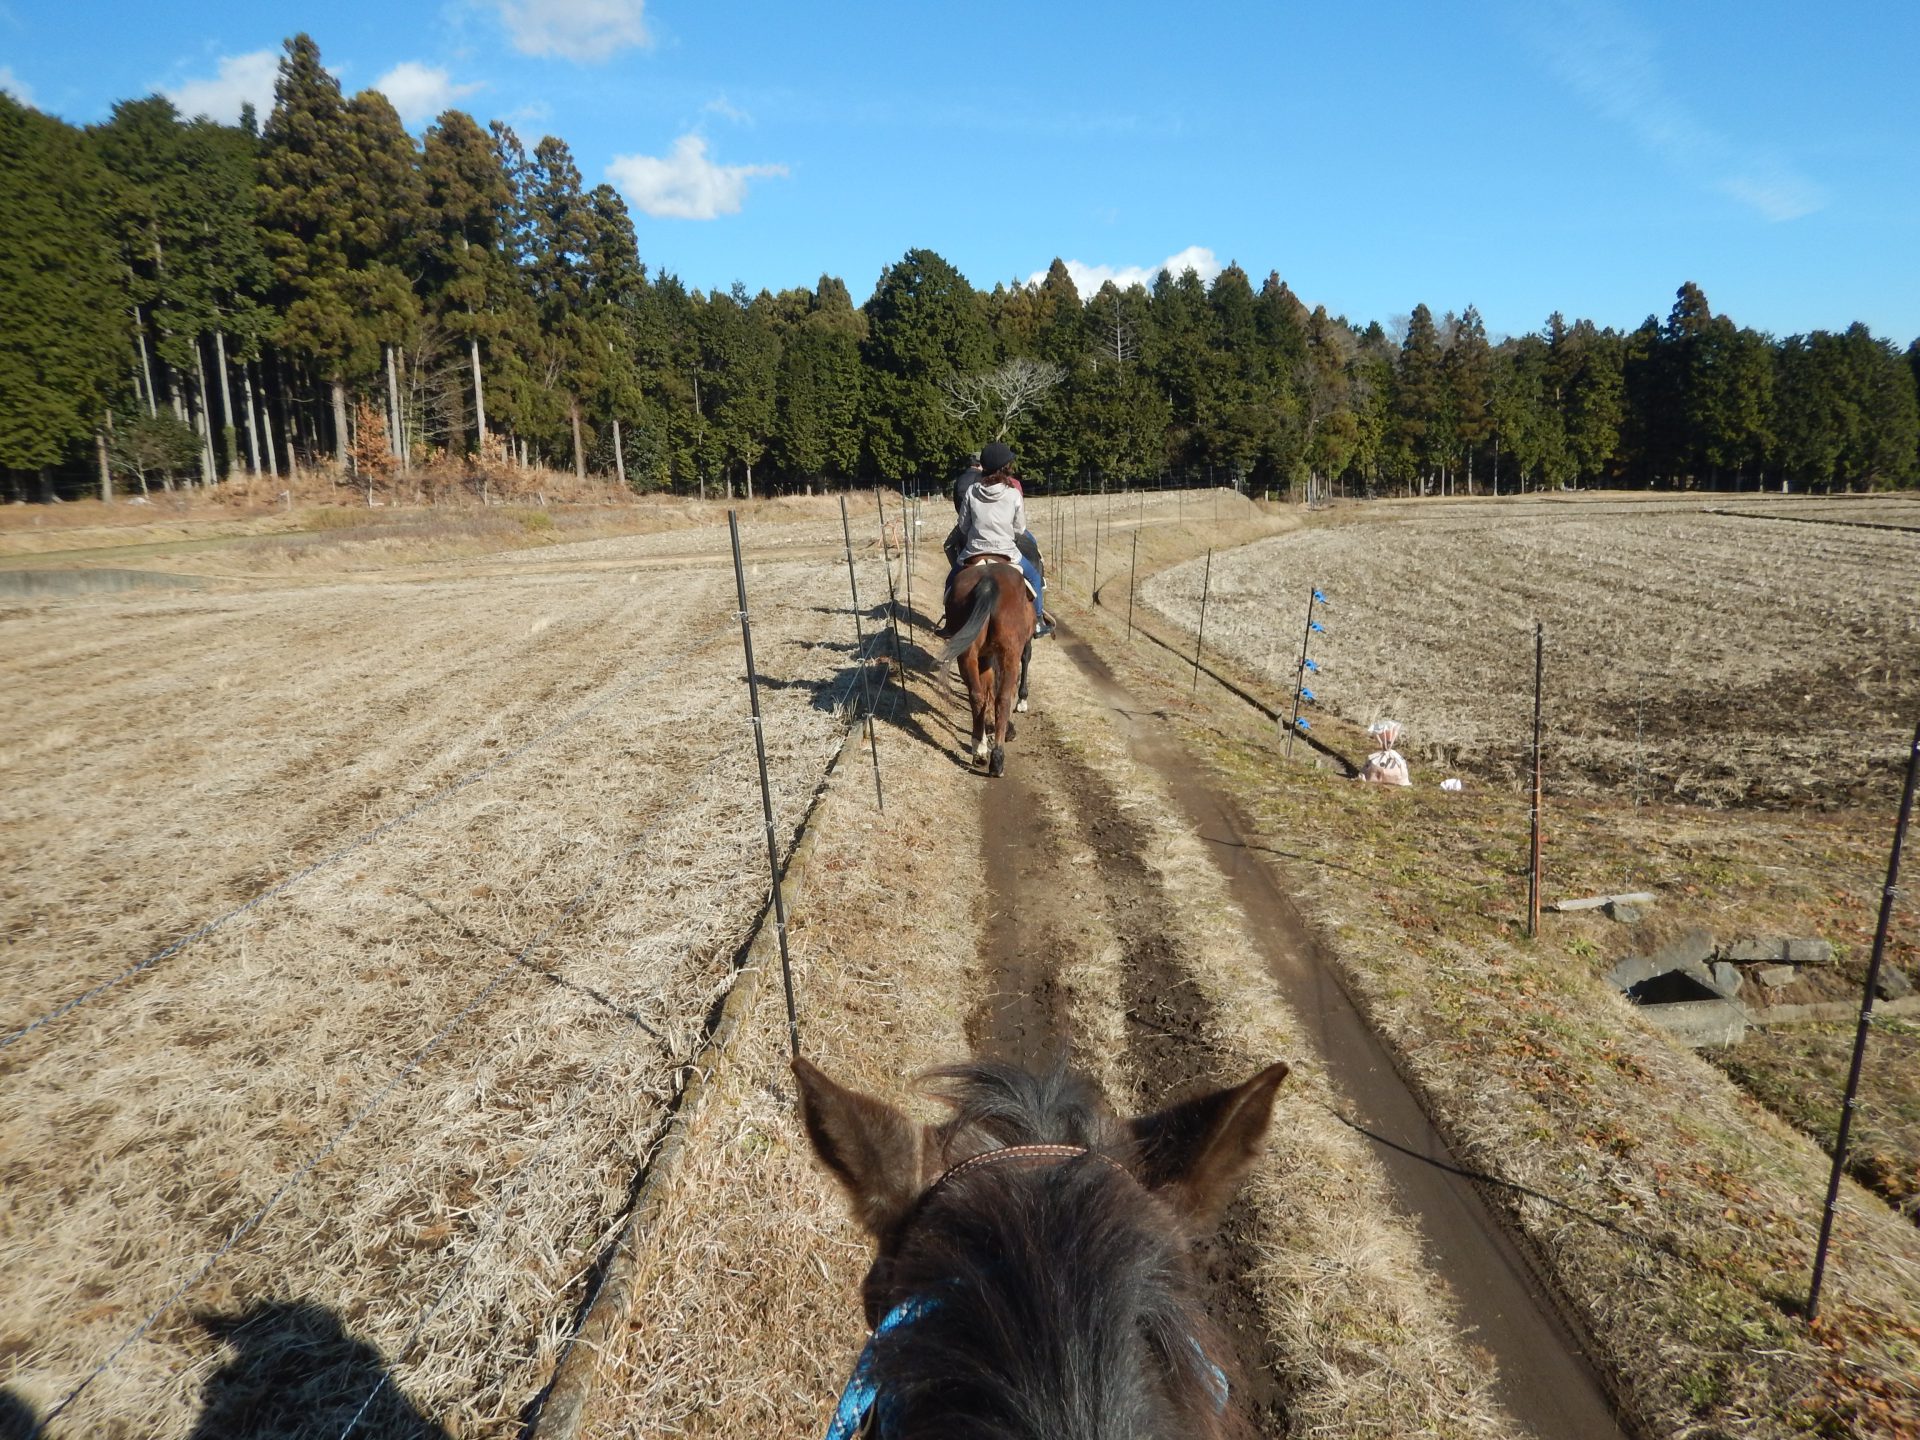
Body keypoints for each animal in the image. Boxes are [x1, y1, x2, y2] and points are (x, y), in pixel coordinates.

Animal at [940, 568, 1036, 783]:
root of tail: (987, 583)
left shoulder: (985, 656)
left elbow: (986, 689)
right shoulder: (1016, 649)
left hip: (968, 652)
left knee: (976, 695)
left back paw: (979, 750)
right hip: (1009, 653)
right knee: (1003, 699)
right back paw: (997, 760)